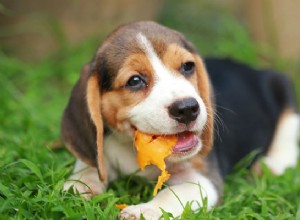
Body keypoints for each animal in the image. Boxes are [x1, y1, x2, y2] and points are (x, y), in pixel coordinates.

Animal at [62, 21, 298, 220]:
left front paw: (143, 211)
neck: (133, 148)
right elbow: (90, 164)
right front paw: (79, 184)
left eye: (187, 66)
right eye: (135, 81)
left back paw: (271, 165)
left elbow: (171, 195)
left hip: (282, 85)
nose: (187, 109)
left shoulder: (204, 180)